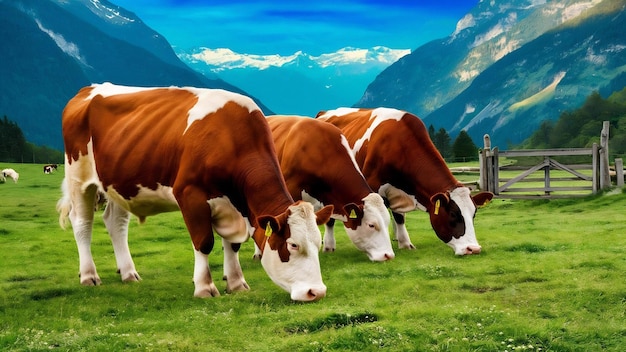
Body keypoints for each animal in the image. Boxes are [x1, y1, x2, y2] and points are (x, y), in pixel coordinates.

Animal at [56, 81, 334, 302]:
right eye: (293, 245)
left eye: (317, 242)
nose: (316, 292)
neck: (231, 138)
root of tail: (88, 89)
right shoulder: (190, 195)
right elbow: (204, 242)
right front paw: (205, 287)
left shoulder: (234, 205)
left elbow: (232, 245)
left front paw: (236, 283)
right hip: (78, 177)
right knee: (82, 224)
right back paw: (89, 275)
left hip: (117, 185)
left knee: (115, 224)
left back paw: (129, 273)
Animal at [316, 107, 492, 256]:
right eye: (453, 214)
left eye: (474, 213)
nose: (473, 249)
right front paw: (403, 243)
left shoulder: (398, 191)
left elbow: (399, 217)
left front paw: (404, 242)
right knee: (330, 217)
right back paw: (329, 246)